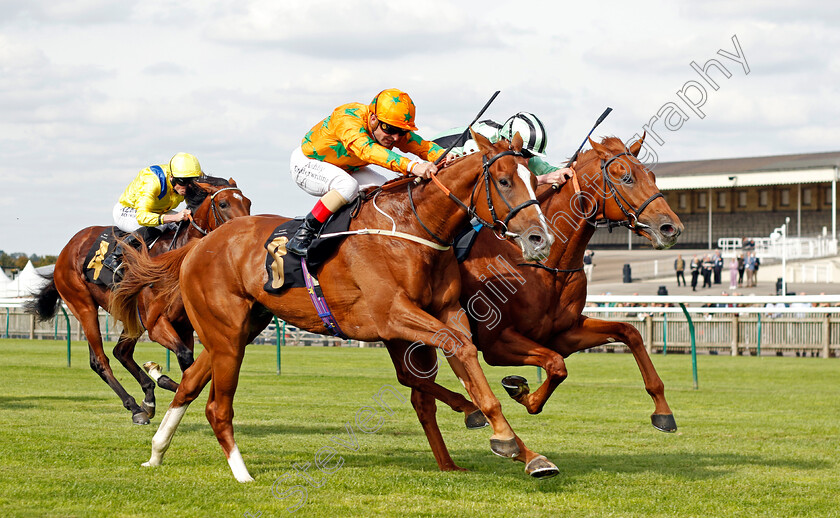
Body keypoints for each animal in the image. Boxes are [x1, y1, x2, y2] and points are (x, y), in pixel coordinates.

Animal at [24, 179, 251, 426]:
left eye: (248, 202)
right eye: (223, 203)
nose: (244, 230)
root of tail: (67, 249)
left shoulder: (183, 327)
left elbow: (189, 365)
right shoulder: (155, 324)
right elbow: (184, 358)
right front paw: (165, 382)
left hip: (131, 317)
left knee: (120, 352)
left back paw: (147, 398)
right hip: (83, 305)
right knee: (100, 360)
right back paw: (134, 406)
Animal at [380, 135, 684, 476]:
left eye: (653, 176)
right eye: (626, 177)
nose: (671, 228)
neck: (543, 264)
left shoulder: (562, 333)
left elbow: (628, 332)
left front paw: (663, 412)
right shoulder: (497, 342)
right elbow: (555, 364)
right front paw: (521, 392)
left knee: (420, 397)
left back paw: (450, 460)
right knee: (412, 382)